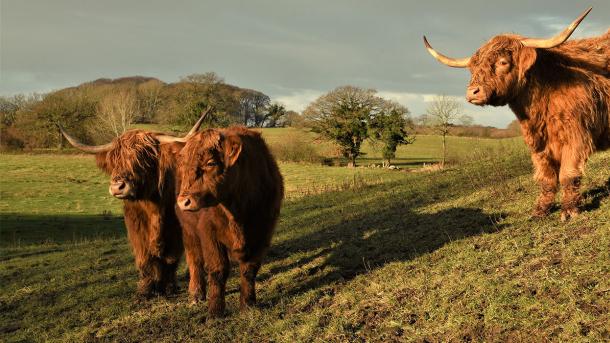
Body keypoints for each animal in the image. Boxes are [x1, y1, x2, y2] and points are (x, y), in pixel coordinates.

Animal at [59, 113, 207, 298]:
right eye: (114, 160)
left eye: (142, 159)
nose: (117, 187)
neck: (154, 207)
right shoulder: (136, 225)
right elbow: (144, 256)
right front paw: (146, 288)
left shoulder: (175, 228)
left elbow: (171, 257)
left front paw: (168, 286)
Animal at [166, 127, 282, 318]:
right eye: (184, 165)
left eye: (211, 163)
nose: (183, 201)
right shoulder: (209, 234)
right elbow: (218, 270)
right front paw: (215, 311)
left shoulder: (263, 233)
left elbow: (250, 269)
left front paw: (248, 304)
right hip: (189, 231)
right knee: (195, 260)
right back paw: (196, 293)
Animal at [422, 8, 608, 223]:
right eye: (473, 68)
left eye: (503, 62)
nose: (472, 92)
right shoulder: (538, 144)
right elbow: (546, 178)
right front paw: (540, 210)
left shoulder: (576, 137)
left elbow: (567, 174)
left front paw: (569, 211)